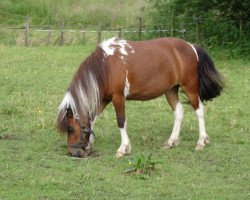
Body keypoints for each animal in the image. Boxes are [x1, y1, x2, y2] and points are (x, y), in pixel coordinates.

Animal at [56, 37, 223, 158]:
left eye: (70, 128)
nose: (74, 153)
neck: (105, 67)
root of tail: (192, 46)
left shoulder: (118, 97)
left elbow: (121, 122)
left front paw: (123, 148)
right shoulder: (104, 99)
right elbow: (92, 119)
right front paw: (90, 143)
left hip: (190, 87)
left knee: (199, 111)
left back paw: (201, 142)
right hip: (170, 90)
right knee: (179, 111)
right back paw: (171, 141)